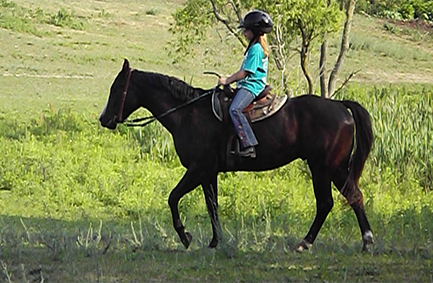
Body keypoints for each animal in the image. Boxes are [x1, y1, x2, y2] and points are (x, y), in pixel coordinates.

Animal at [99, 59, 372, 253]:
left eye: (117, 88)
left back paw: (305, 243)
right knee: (354, 197)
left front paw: (186, 237)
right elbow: (212, 206)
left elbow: (173, 197)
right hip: (337, 169)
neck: (188, 113)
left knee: (326, 203)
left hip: (322, 169)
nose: (104, 119)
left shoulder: (198, 169)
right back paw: (367, 242)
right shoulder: (208, 173)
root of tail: (341, 106)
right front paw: (214, 241)